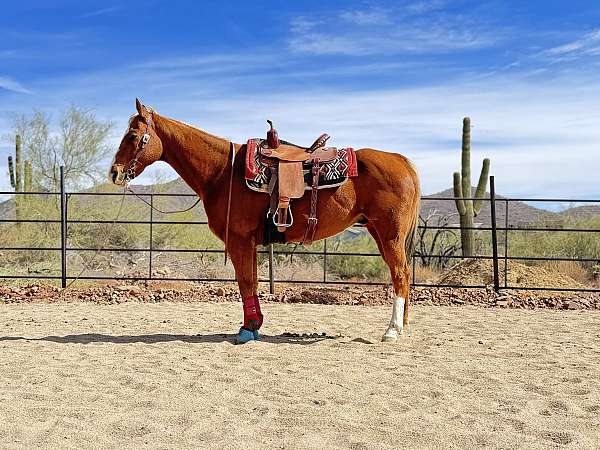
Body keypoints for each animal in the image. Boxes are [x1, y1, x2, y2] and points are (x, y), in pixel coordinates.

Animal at [113, 100, 422, 342]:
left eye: (132, 136)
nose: (114, 172)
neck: (222, 172)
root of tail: (402, 161)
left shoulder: (239, 240)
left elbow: (245, 281)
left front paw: (247, 329)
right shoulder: (248, 242)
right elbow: (251, 281)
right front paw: (254, 325)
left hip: (390, 235)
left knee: (400, 274)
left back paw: (392, 330)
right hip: (379, 233)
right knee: (402, 275)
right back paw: (402, 325)